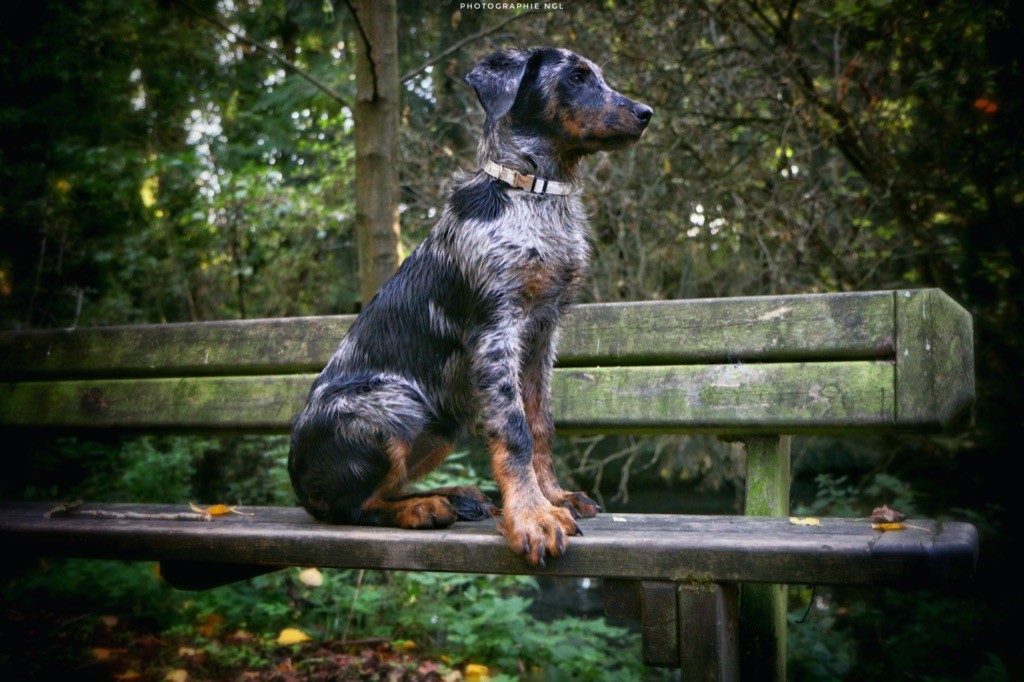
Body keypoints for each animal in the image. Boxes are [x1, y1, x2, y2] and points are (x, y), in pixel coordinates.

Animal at [288, 46, 652, 566]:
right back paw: (425, 507)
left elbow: (540, 424)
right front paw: (533, 517)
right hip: (394, 404)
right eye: (577, 78)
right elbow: (514, 430)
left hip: (442, 423)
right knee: (350, 508)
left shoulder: (542, 335)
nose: (646, 113)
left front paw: (554, 498)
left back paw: (456, 496)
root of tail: (298, 485)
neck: (534, 192)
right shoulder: (496, 330)